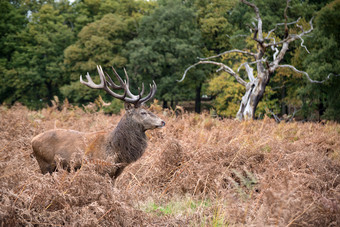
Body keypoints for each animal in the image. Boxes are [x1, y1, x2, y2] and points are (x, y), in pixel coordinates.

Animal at [32, 65, 166, 179]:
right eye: (143, 112)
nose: (162, 121)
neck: (117, 152)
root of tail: (32, 140)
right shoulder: (100, 170)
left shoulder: (115, 174)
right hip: (45, 165)